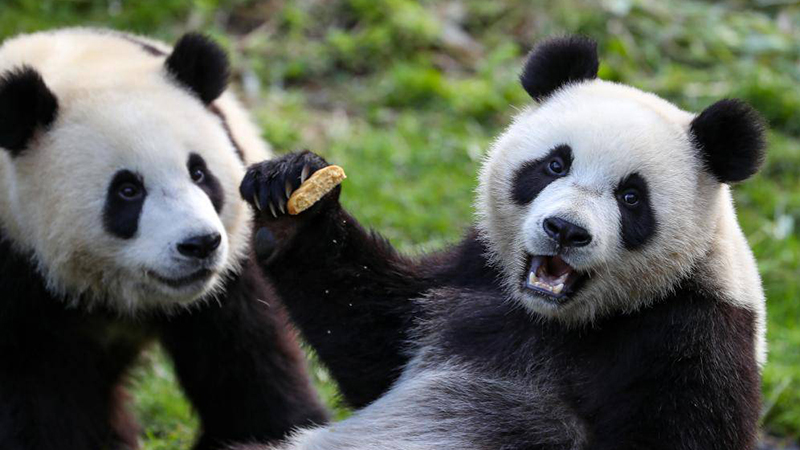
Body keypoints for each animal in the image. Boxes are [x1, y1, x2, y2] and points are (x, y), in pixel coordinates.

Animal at [0, 29, 327, 450]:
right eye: (127, 190)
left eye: (199, 173)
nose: (199, 244)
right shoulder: (16, 274)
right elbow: (41, 395)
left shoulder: (230, 277)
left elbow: (248, 363)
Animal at [239, 36, 767, 450]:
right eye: (555, 164)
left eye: (631, 197)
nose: (565, 230)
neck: (559, 321)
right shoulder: (473, 276)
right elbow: (372, 337)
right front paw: (292, 195)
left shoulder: (690, 341)